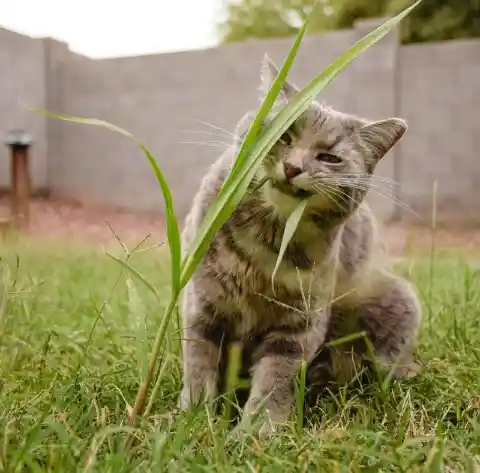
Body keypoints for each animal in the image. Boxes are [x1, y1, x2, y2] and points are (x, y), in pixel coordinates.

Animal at [179, 54, 420, 436]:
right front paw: (196, 420)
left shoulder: (297, 328)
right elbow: (199, 365)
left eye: (330, 158)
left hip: (394, 301)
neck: (267, 240)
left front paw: (256, 434)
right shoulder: (201, 305)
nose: (292, 167)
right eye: (284, 135)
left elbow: (274, 381)